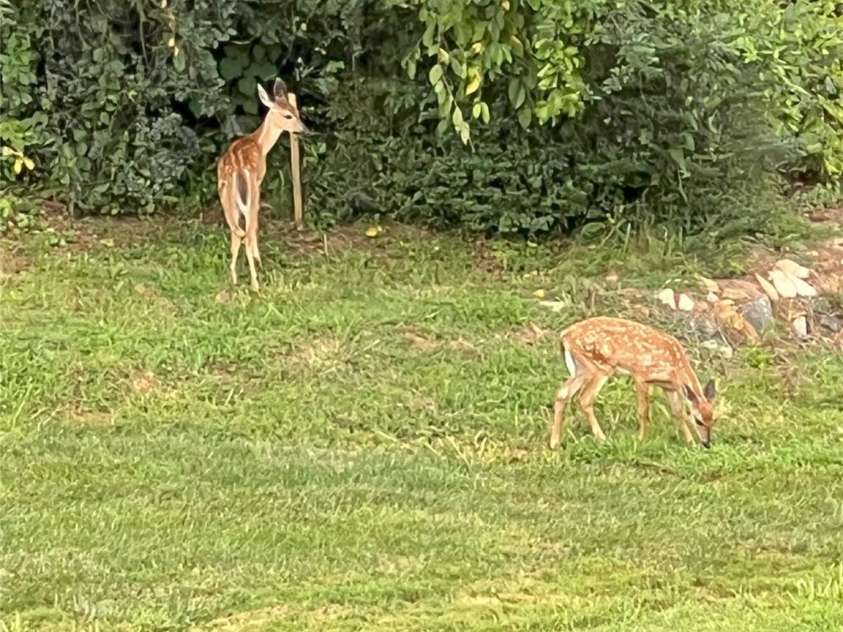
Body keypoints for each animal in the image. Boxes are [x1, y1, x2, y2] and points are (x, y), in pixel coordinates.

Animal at [217, 78, 306, 290]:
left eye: (296, 110)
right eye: (288, 115)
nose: (304, 129)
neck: (259, 144)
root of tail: (237, 169)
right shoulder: (259, 181)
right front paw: (257, 261)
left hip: (225, 197)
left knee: (236, 231)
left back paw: (233, 278)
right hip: (251, 193)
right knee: (248, 233)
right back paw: (255, 282)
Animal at [549, 316, 718, 449]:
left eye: (714, 419)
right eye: (698, 421)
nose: (707, 443)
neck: (676, 367)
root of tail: (565, 335)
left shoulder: (669, 387)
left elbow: (678, 413)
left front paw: (691, 443)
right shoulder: (641, 375)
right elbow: (644, 411)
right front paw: (641, 440)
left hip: (581, 370)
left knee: (562, 394)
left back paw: (554, 443)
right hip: (600, 366)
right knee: (584, 398)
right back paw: (603, 438)